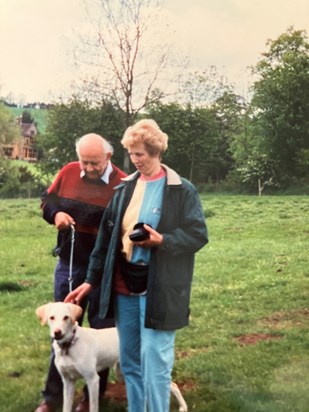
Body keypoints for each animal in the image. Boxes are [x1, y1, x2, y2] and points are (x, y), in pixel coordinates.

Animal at [35, 300, 186, 412]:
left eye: (66, 317)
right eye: (52, 317)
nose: (57, 333)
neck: (69, 346)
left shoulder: (92, 379)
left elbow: (93, 407)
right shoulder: (68, 381)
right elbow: (66, 407)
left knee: (172, 385)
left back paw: (183, 407)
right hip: (123, 371)